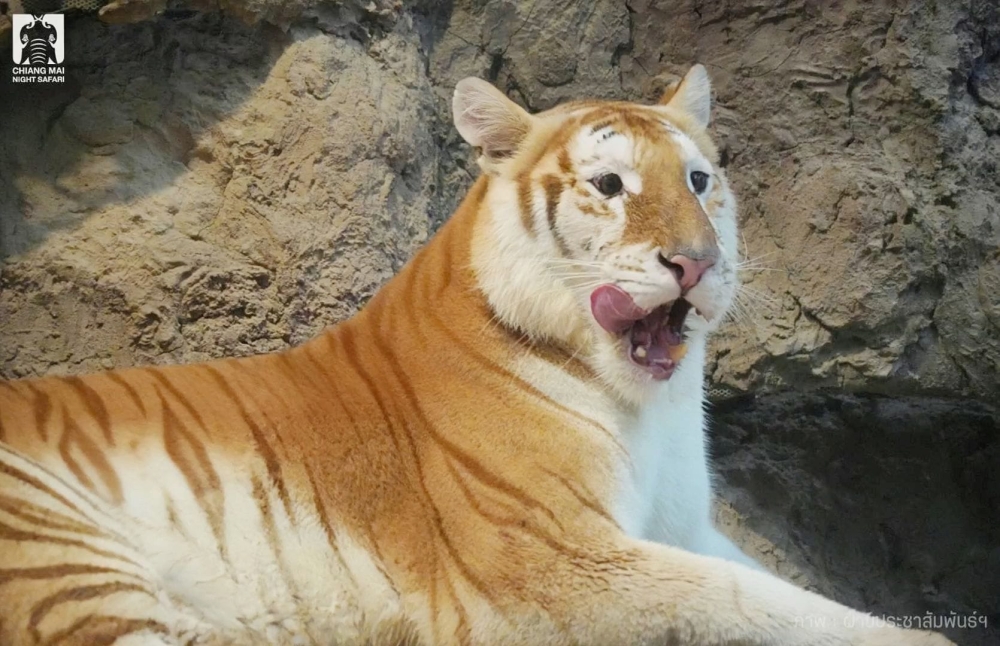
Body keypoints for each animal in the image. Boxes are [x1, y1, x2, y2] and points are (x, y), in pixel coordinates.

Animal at [0, 65, 954, 646]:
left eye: (698, 181)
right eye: (610, 186)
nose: (697, 262)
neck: (648, 408)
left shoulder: (682, 529)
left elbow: (787, 591)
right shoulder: (554, 561)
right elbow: (758, 607)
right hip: (60, 551)